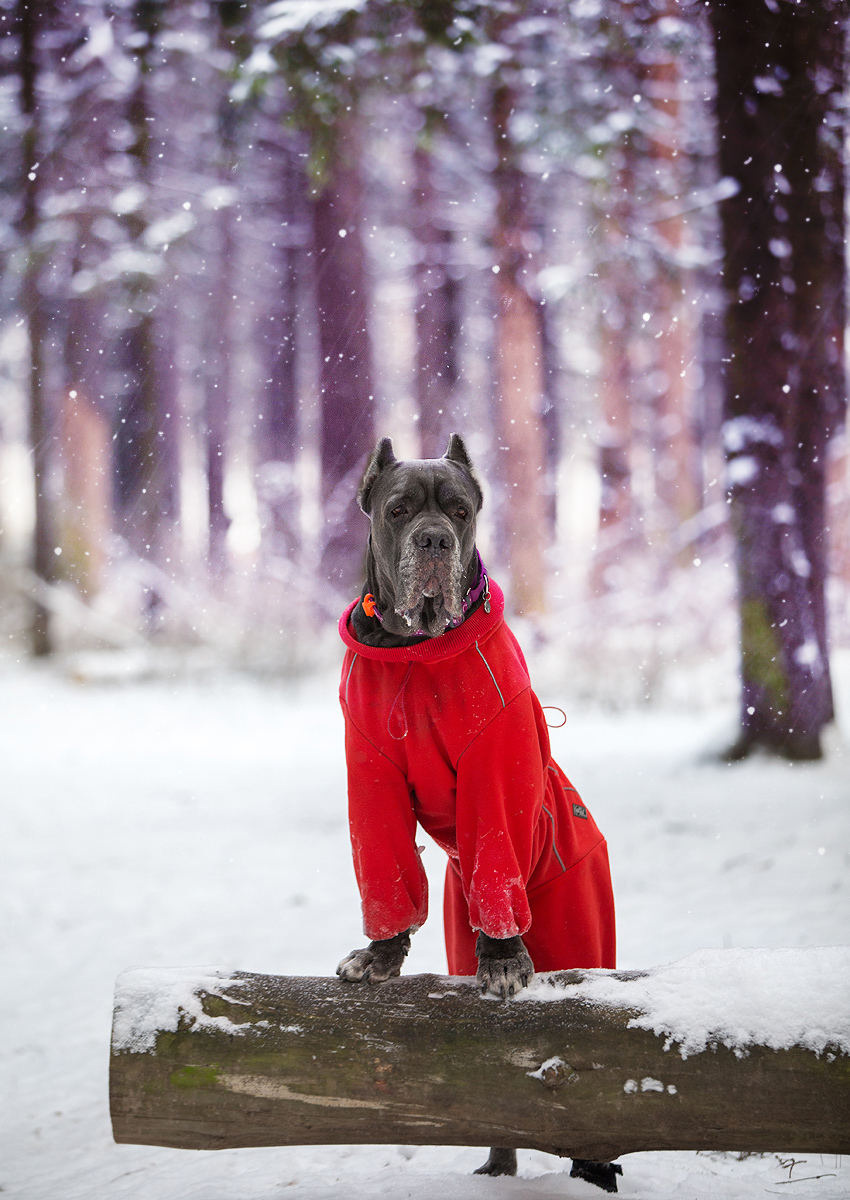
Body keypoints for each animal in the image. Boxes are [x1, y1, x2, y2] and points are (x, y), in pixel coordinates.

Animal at [336, 434, 619, 1190]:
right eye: (398, 509)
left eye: (460, 512)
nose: (434, 538)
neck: (417, 648)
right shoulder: (368, 776)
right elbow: (385, 873)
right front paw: (379, 958)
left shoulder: (496, 769)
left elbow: (496, 859)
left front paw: (504, 960)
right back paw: (496, 1169)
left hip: (582, 924)